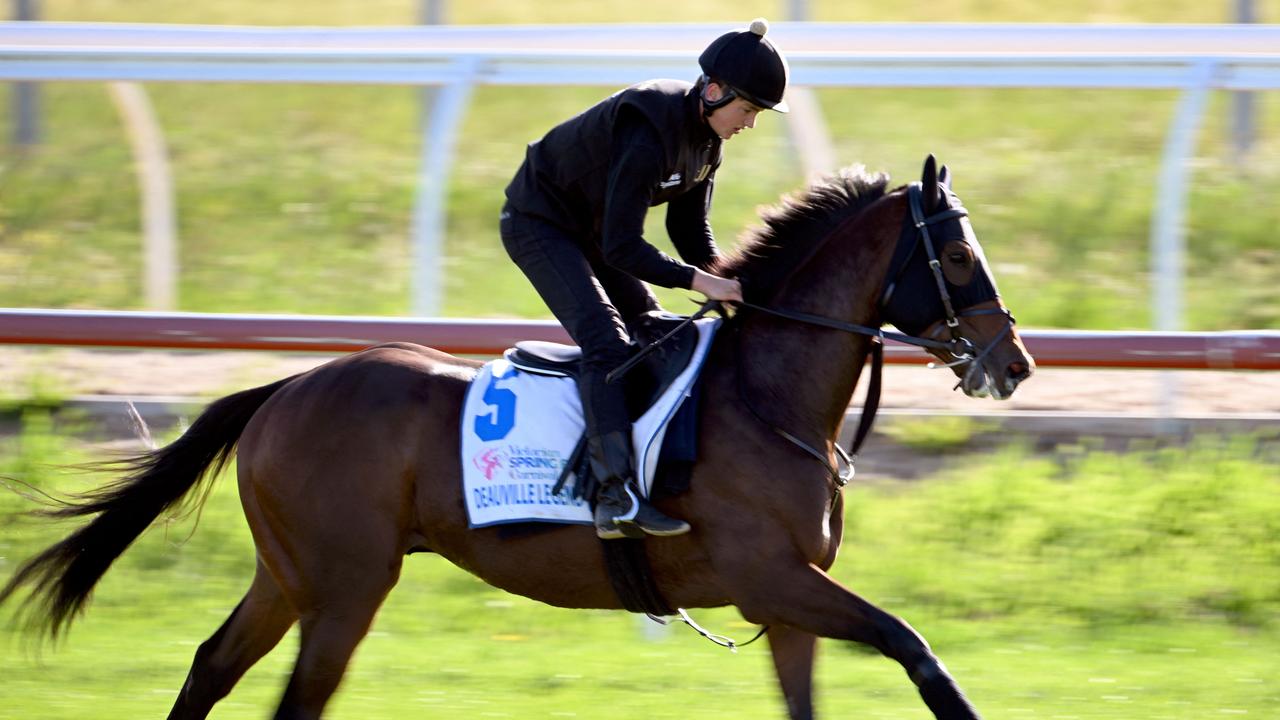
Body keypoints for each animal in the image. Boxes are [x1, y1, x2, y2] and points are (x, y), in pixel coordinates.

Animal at [0, 154, 1034, 712]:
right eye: (954, 254)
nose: (1014, 361)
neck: (766, 399)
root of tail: (288, 385)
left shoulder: (785, 606)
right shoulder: (772, 577)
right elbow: (914, 645)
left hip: (290, 575)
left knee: (211, 666)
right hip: (345, 585)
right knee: (294, 699)